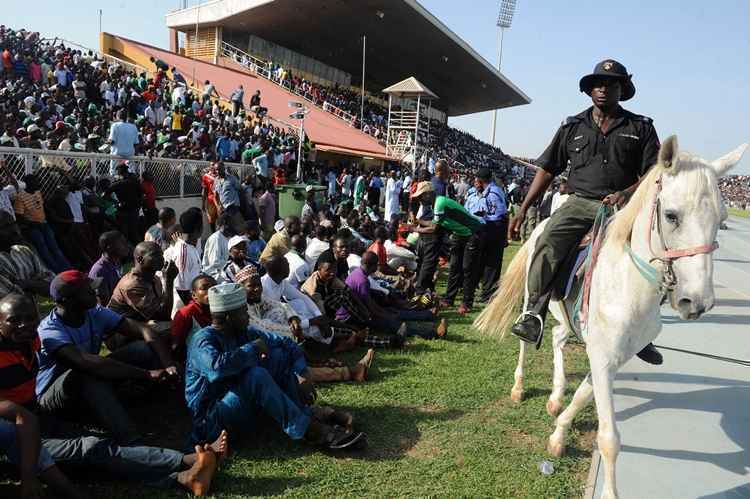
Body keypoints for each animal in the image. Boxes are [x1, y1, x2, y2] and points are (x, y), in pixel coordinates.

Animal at [478, 137, 748, 499]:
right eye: (671, 215)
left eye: (721, 219)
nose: (697, 302)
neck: (629, 283)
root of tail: (542, 225)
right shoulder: (604, 357)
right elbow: (609, 438)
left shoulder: (610, 357)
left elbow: (582, 396)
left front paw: (558, 432)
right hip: (529, 295)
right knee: (526, 337)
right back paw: (519, 385)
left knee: (558, 338)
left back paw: (555, 395)